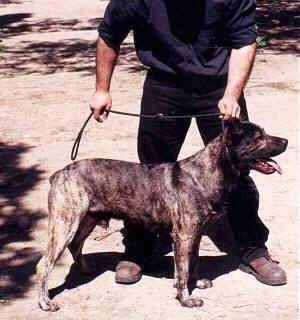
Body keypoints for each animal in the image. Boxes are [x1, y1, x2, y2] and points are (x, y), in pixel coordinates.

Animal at [36, 119, 288, 310]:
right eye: (259, 137)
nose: (285, 141)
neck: (208, 172)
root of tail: (59, 173)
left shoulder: (194, 235)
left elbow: (193, 264)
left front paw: (196, 284)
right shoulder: (184, 236)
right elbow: (183, 270)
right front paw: (186, 299)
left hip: (87, 220)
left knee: (75, 245)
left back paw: (86, 269)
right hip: (65, 223)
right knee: (44, 264)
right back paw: (45, 302)